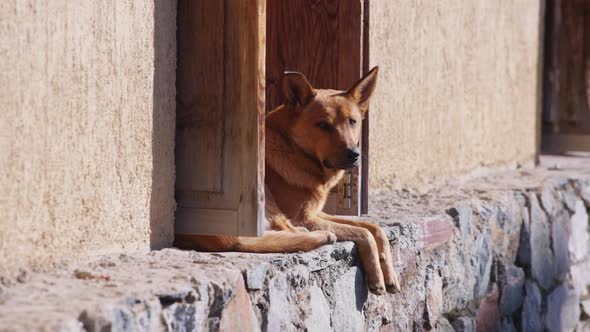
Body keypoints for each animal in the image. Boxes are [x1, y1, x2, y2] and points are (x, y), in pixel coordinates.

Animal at [173, 66, 400, 294]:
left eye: (352, 122)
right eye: (323, 125)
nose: (354, 154)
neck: (294, 148)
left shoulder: (316, 213)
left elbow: (374, 228)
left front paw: (388, 273)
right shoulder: (305, 218)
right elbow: (364, 232)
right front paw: (376, 275)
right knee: (274, 234)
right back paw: (319, 236)